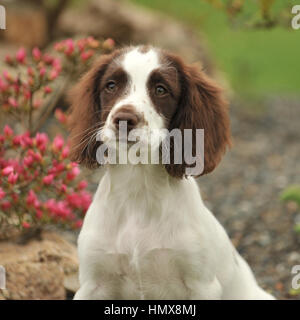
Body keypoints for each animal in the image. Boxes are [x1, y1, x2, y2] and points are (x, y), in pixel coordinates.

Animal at [69, 45, 276, 300]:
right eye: (111, 85)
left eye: (161, 90)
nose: (124, 119)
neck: (139, 191)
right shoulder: (92, 284)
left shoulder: (201, 285)